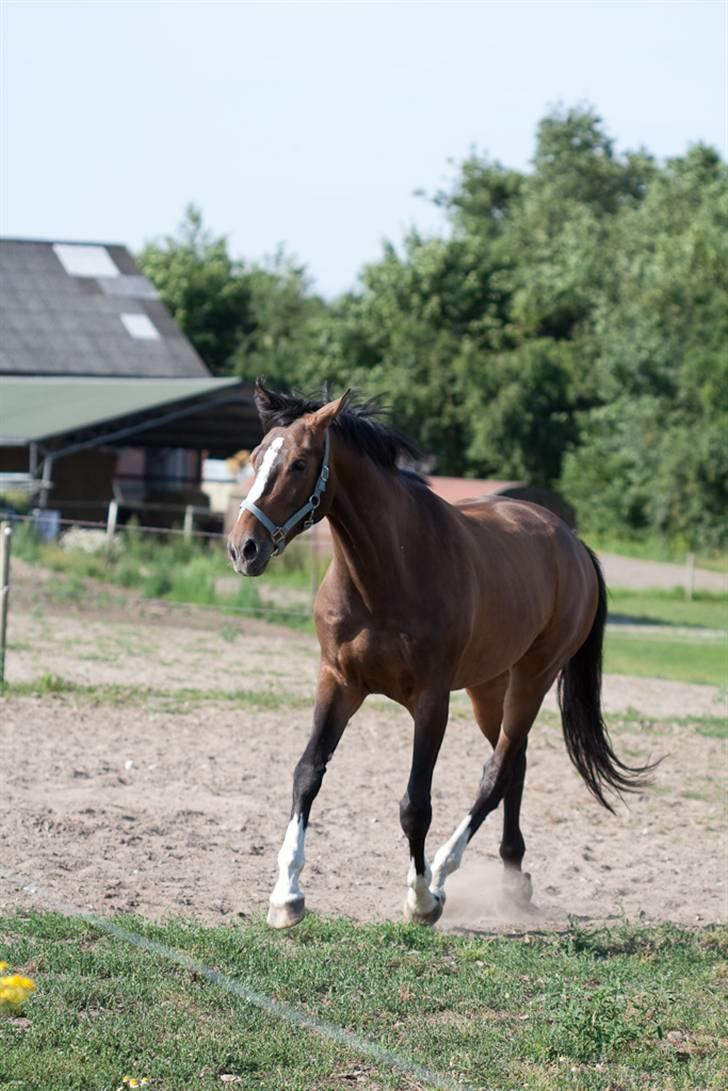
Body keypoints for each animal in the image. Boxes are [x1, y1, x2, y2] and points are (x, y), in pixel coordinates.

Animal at [228, 381, 650, 929]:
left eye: (299, 463)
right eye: (257, 457)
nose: (243, 548)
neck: (388, 573)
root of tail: (573, 544)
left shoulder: (431, 701)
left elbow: (415, 804)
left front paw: (421, 898)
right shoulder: (338, 683)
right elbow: (306, 775)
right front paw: (286, 897)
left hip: (532, 678)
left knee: (497, 772)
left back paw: (447, 875)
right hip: (488, 687)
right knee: (514, 763)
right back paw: (513, 877)